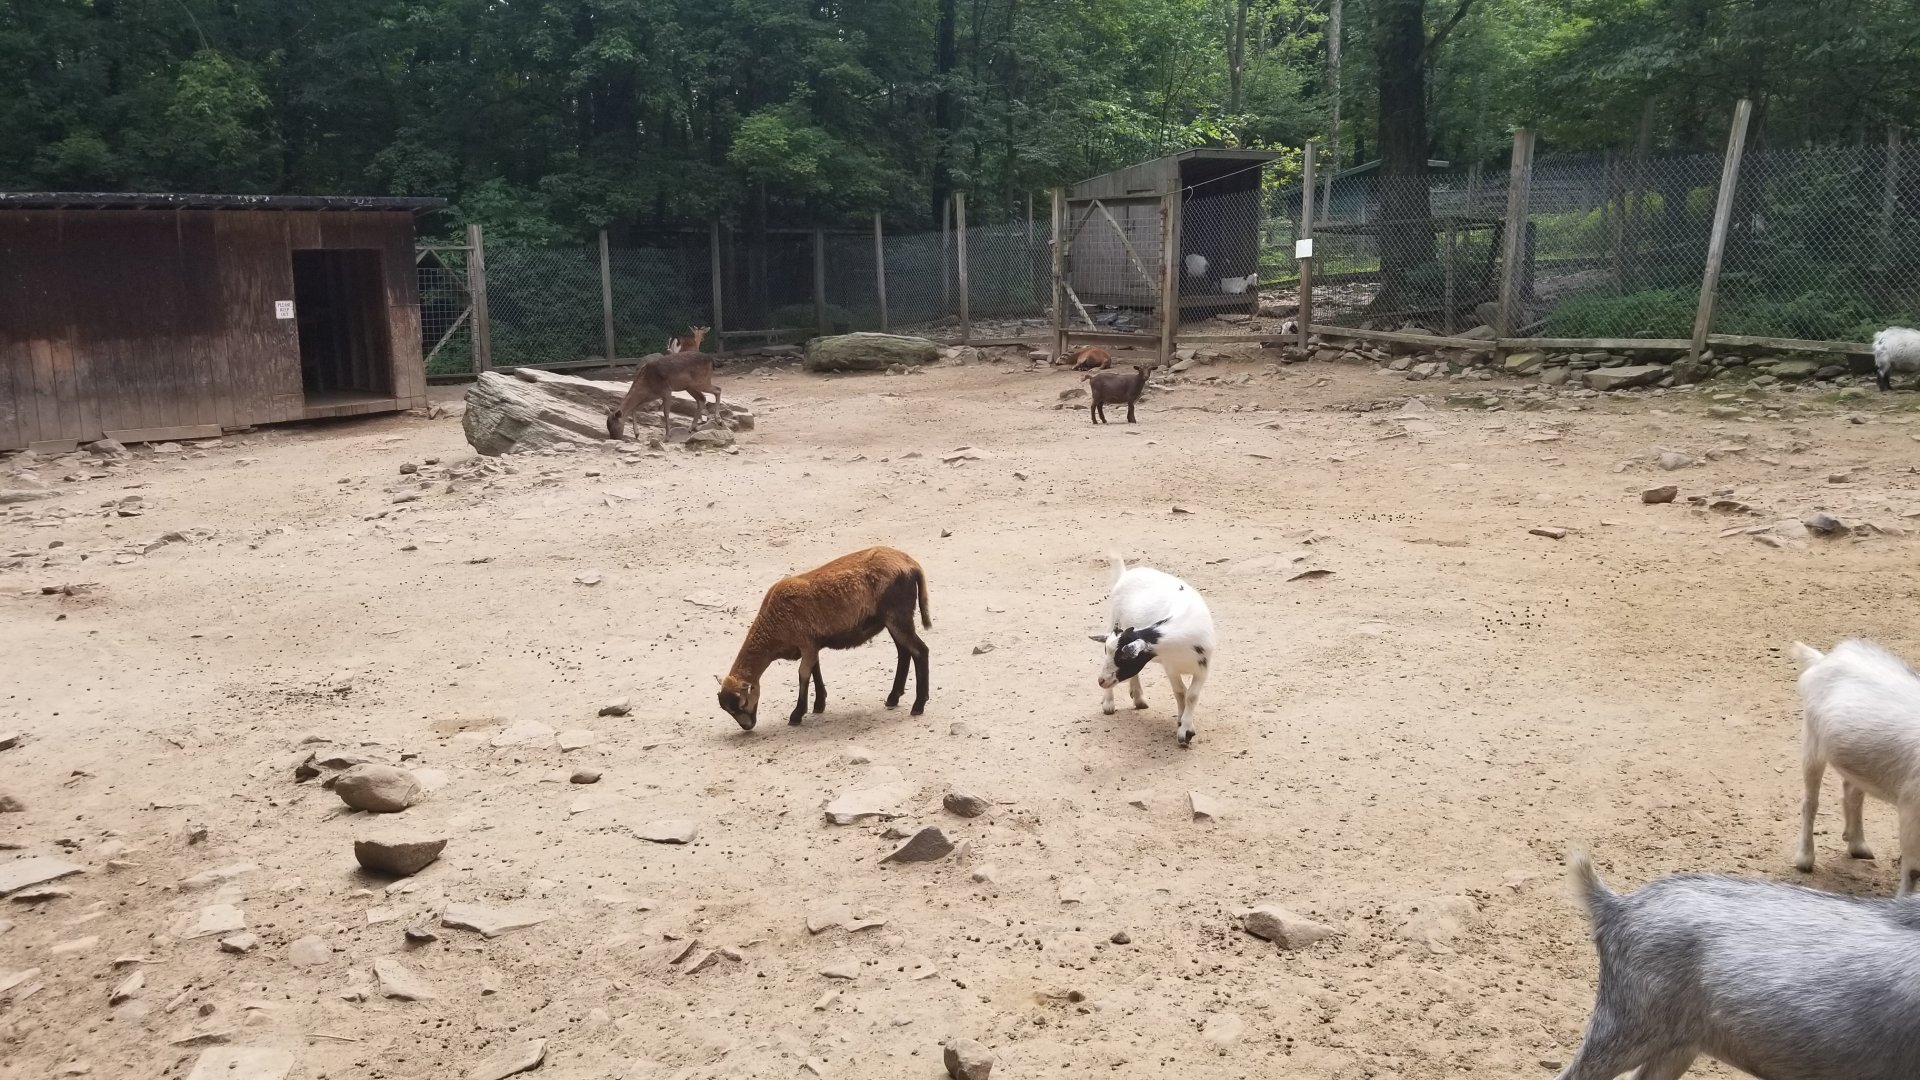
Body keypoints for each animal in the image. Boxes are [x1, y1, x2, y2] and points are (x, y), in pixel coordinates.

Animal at [717, 547, 931, 730]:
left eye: (742, 703)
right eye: (728, 710)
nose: (747, 727)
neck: (773, 625)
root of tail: (912, 564)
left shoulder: (806, 642)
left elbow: (803, 674)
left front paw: (797, 714)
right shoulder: (811, 644)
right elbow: (815, 669)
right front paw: (819, 704)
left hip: (897, 615)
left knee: (920, 651)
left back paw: (918, 705)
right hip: (893, 619)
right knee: (904, 652)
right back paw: (894, 697)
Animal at [1088, 553, 1215, 747]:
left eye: (1123, 658)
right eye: (1107, 652)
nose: (1101, 681)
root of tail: (1125, 574)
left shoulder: (1203, 667)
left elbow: (1191, 695)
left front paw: (1186, 728)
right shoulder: (1171, 668)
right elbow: (1180, 693)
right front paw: (1183, 726)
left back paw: (1138, 698)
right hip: (1112, 618)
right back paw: (1109, 703)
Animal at [1789, 639, 1920, 895]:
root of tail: (1823, 659)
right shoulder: (1911, 808)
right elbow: (1913, 869)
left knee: (1852, 792)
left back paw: (1857, 844)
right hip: (1812, 740)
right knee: (1810, 802)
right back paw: (1805, 859)